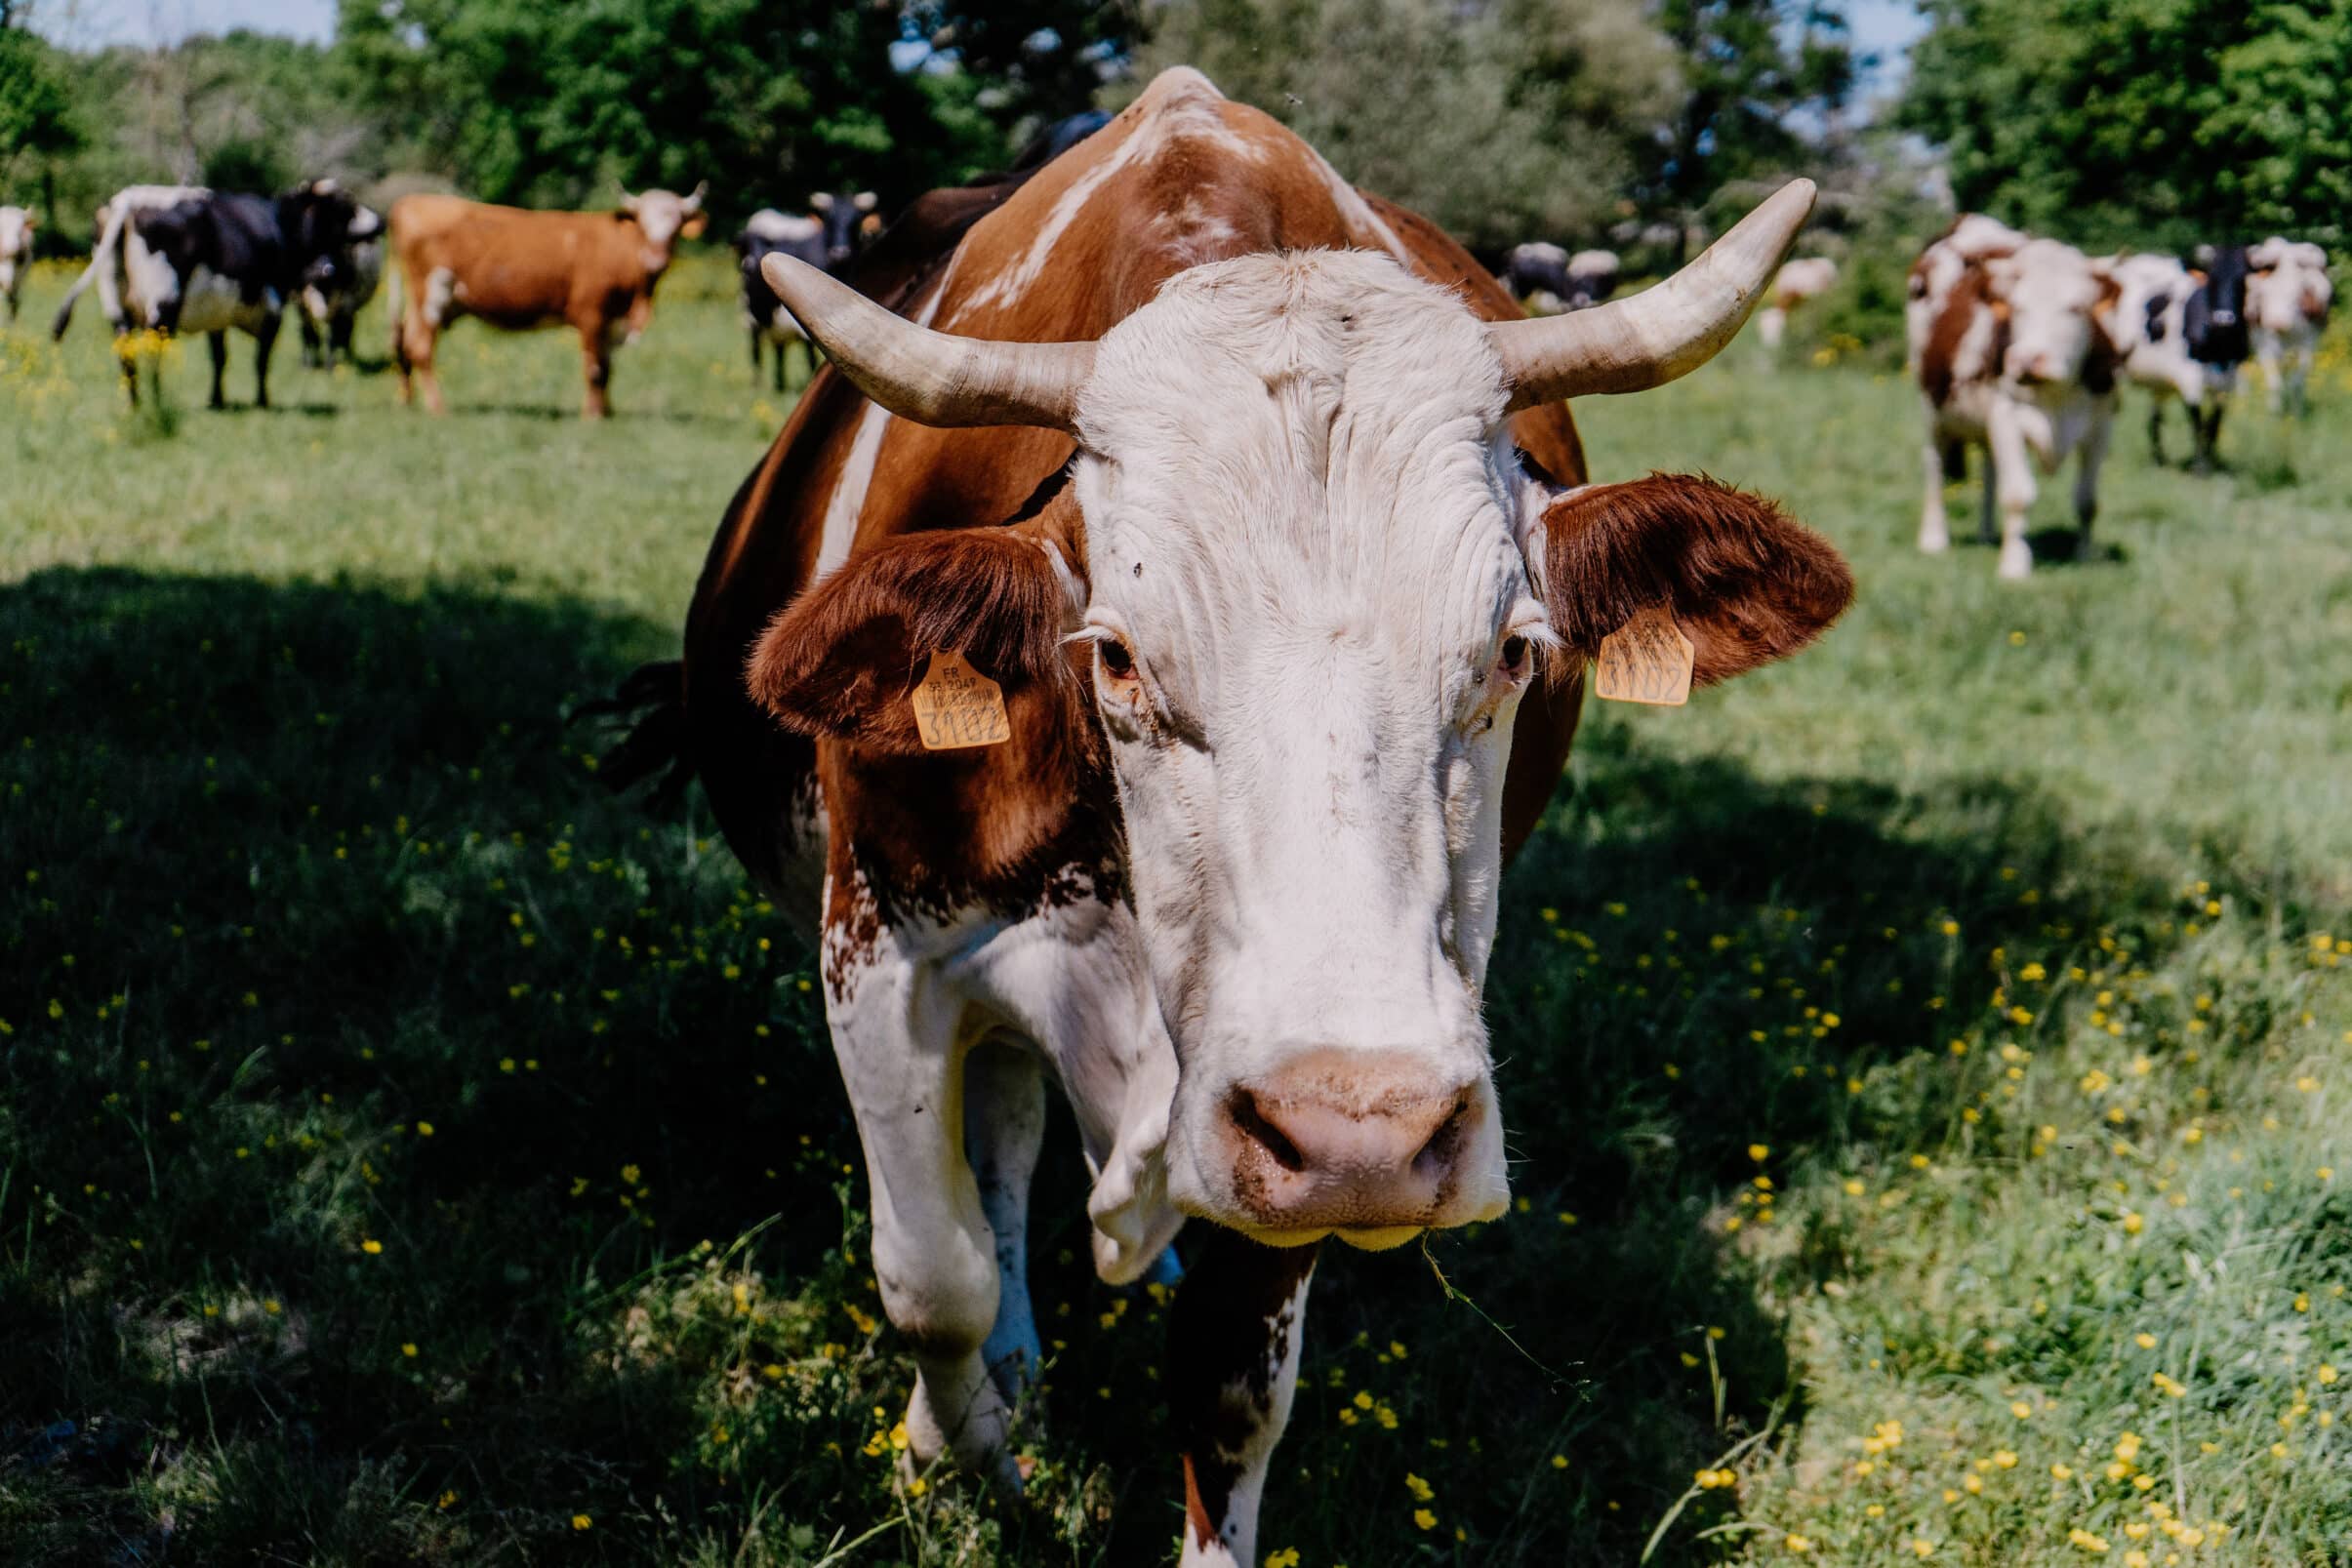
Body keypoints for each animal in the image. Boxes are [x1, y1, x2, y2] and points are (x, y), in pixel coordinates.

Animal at [50, 182, 373, 408]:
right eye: (343, 212)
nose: (329, 269)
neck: (279, 226)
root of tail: (129, 199)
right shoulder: (273, 307)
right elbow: (261, 360)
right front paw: (262, 400)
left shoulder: (217, 313)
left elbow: (219, 358)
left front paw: (217, 399)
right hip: (163, 304)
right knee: (153, 352)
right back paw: (157, 401)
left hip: (117, 308)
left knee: (126, 353)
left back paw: (136, 403)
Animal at [387, 183, 706, 419]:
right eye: (642, 224)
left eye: (677, 226)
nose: (655, 260)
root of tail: (410, 201)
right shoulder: (591, 314)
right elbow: (594, 369)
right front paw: (591, 417)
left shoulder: (612, 321)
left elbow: (608, 369)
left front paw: (607, 412)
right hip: (431, 296)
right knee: (420, 349)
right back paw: (438, 408)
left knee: (404, 343)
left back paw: (407, 401)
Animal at [736, 193, 876, 391]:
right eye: (829, 220)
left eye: (856, 221)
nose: (840, 252)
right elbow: (811, 359)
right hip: (751, 314)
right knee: (756, 350)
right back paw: (758, 384)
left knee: (779, 350)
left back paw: (780, 384)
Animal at [1918, 237, 2121, 578]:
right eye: (2017, 307)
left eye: (2075, 308)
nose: (2026, 358)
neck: (2056, 395)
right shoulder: (2007, 419)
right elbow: (2017, 495)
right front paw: (2015, 565)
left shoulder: (2100, 427)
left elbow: (2087, 501)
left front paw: (2085, 556)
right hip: (1934, 415)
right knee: (1934, 470)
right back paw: (1933, 539)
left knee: (1989, 473)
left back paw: (1987, 534)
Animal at [2247, 236, 2330, 416]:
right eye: (2264, 294)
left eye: (2296, 296)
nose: (2277, 322)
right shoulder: (2264, 342)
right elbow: (2274, 382)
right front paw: (2275, 412)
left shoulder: (2309, 342)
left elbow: (2297, 382)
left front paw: (2297, 413)